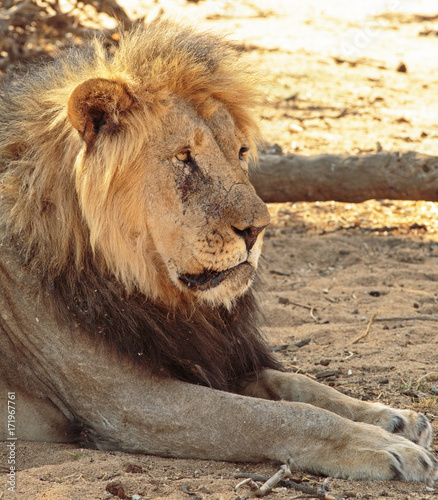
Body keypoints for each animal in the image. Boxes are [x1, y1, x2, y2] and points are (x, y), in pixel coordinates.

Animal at [0, 21, 438, 486]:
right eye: (184, 157)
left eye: (241, 152)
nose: (258, 228)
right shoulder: (127, 403)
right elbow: (283, 415)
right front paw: (385, 445)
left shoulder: (212, 359)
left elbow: (299, 384)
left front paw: (392, 418)